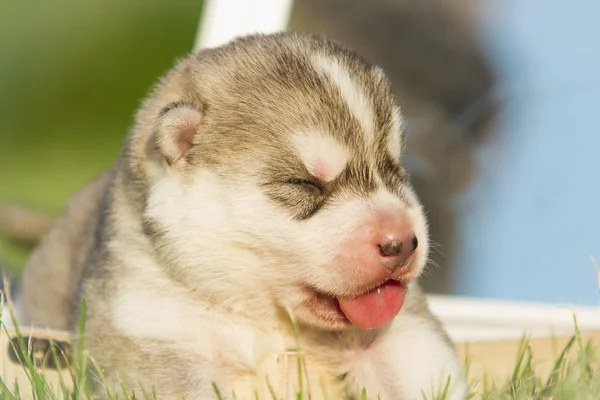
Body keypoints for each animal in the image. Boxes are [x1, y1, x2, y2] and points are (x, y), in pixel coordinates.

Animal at [18, 32, 466, 398]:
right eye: (304, 184)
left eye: (395, 172)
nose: (401, 242)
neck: (261, 316)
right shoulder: (154, 330)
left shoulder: (403, 334)